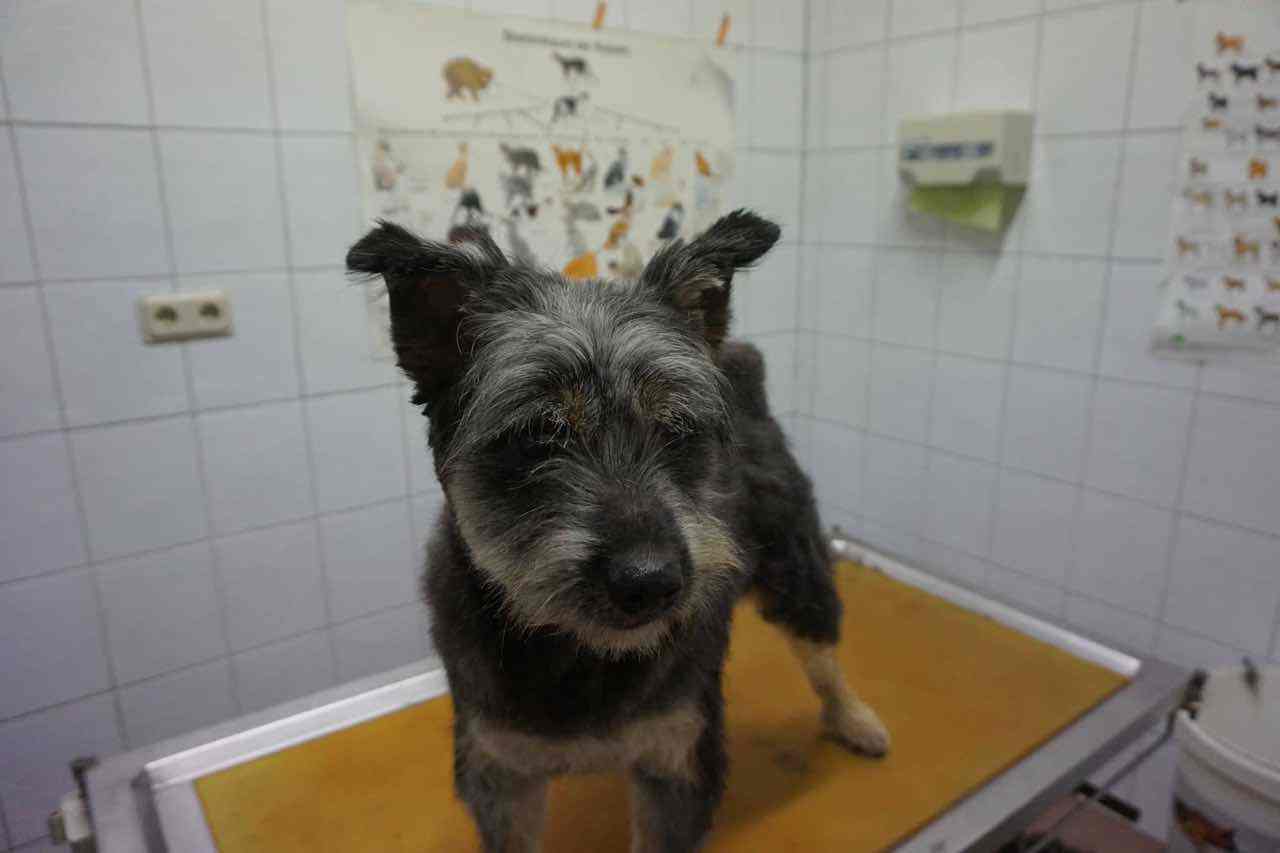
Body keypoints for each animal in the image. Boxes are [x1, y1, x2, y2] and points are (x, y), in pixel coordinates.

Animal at [345, 211, 889, 853]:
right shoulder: (500, 774)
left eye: (678, 428)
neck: (579, 656)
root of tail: (741, 370)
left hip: (796, 572)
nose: (650, 582)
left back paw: (854, 719)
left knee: (823, 658)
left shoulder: (679, 760)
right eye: (537, 434)